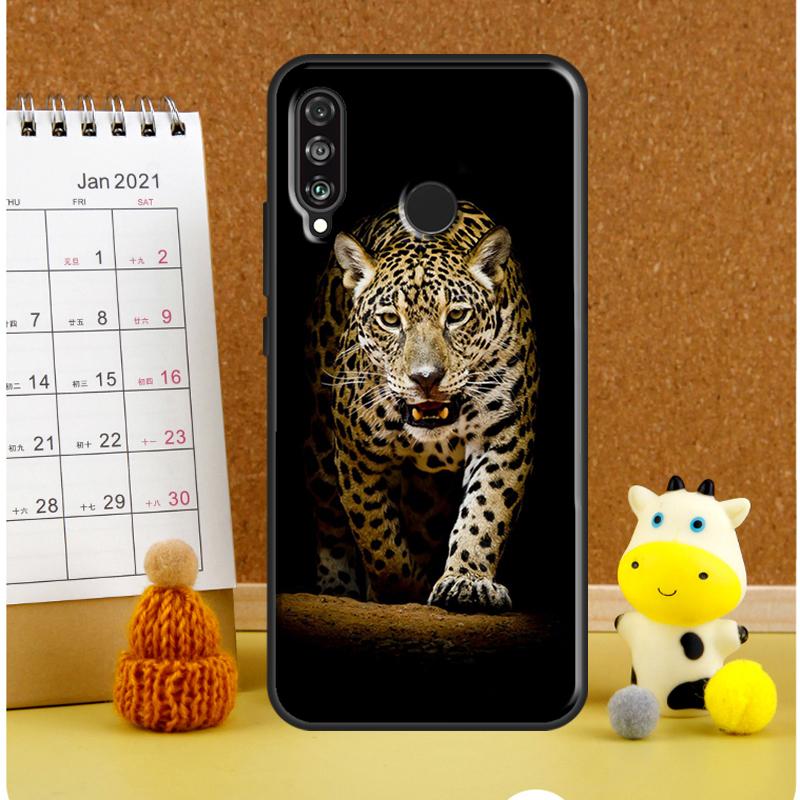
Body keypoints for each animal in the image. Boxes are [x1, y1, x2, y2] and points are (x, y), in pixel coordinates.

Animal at [303, 200, 538, 612]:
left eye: (456, 316)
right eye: (390, 320)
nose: (426, 377)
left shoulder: (505, 435)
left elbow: (486, 510)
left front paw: (466, 581)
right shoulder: (355, 451)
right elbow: (375, 533)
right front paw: (400, 589)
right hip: (319, 446)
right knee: (330, 520)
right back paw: (336, 586)